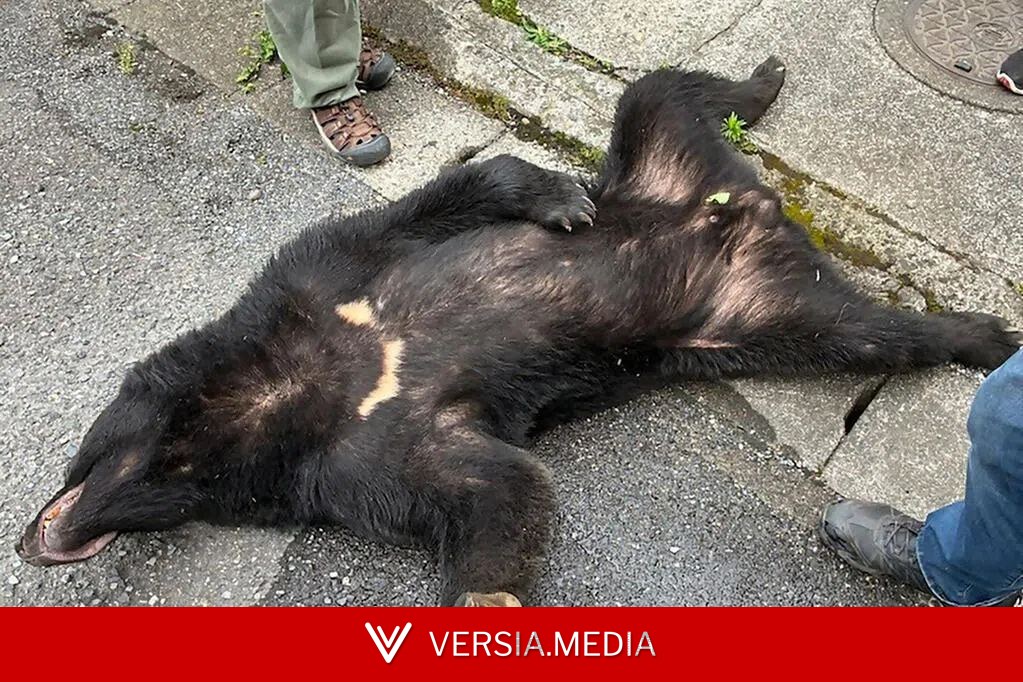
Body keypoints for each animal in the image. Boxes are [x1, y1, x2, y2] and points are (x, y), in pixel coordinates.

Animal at [17, 57, 1020, 606]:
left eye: (85, 446)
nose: (37, 537)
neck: (279, 394)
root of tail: (750, 206)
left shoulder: (320, 277)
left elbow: (439, 201)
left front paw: (556, 199)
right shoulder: (350, 461)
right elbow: (492, 488)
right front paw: (484, 594)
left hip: (655, 156)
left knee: (660, 90)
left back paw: (764, 80)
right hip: (762, 313)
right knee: (870, 333)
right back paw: (979, 333)